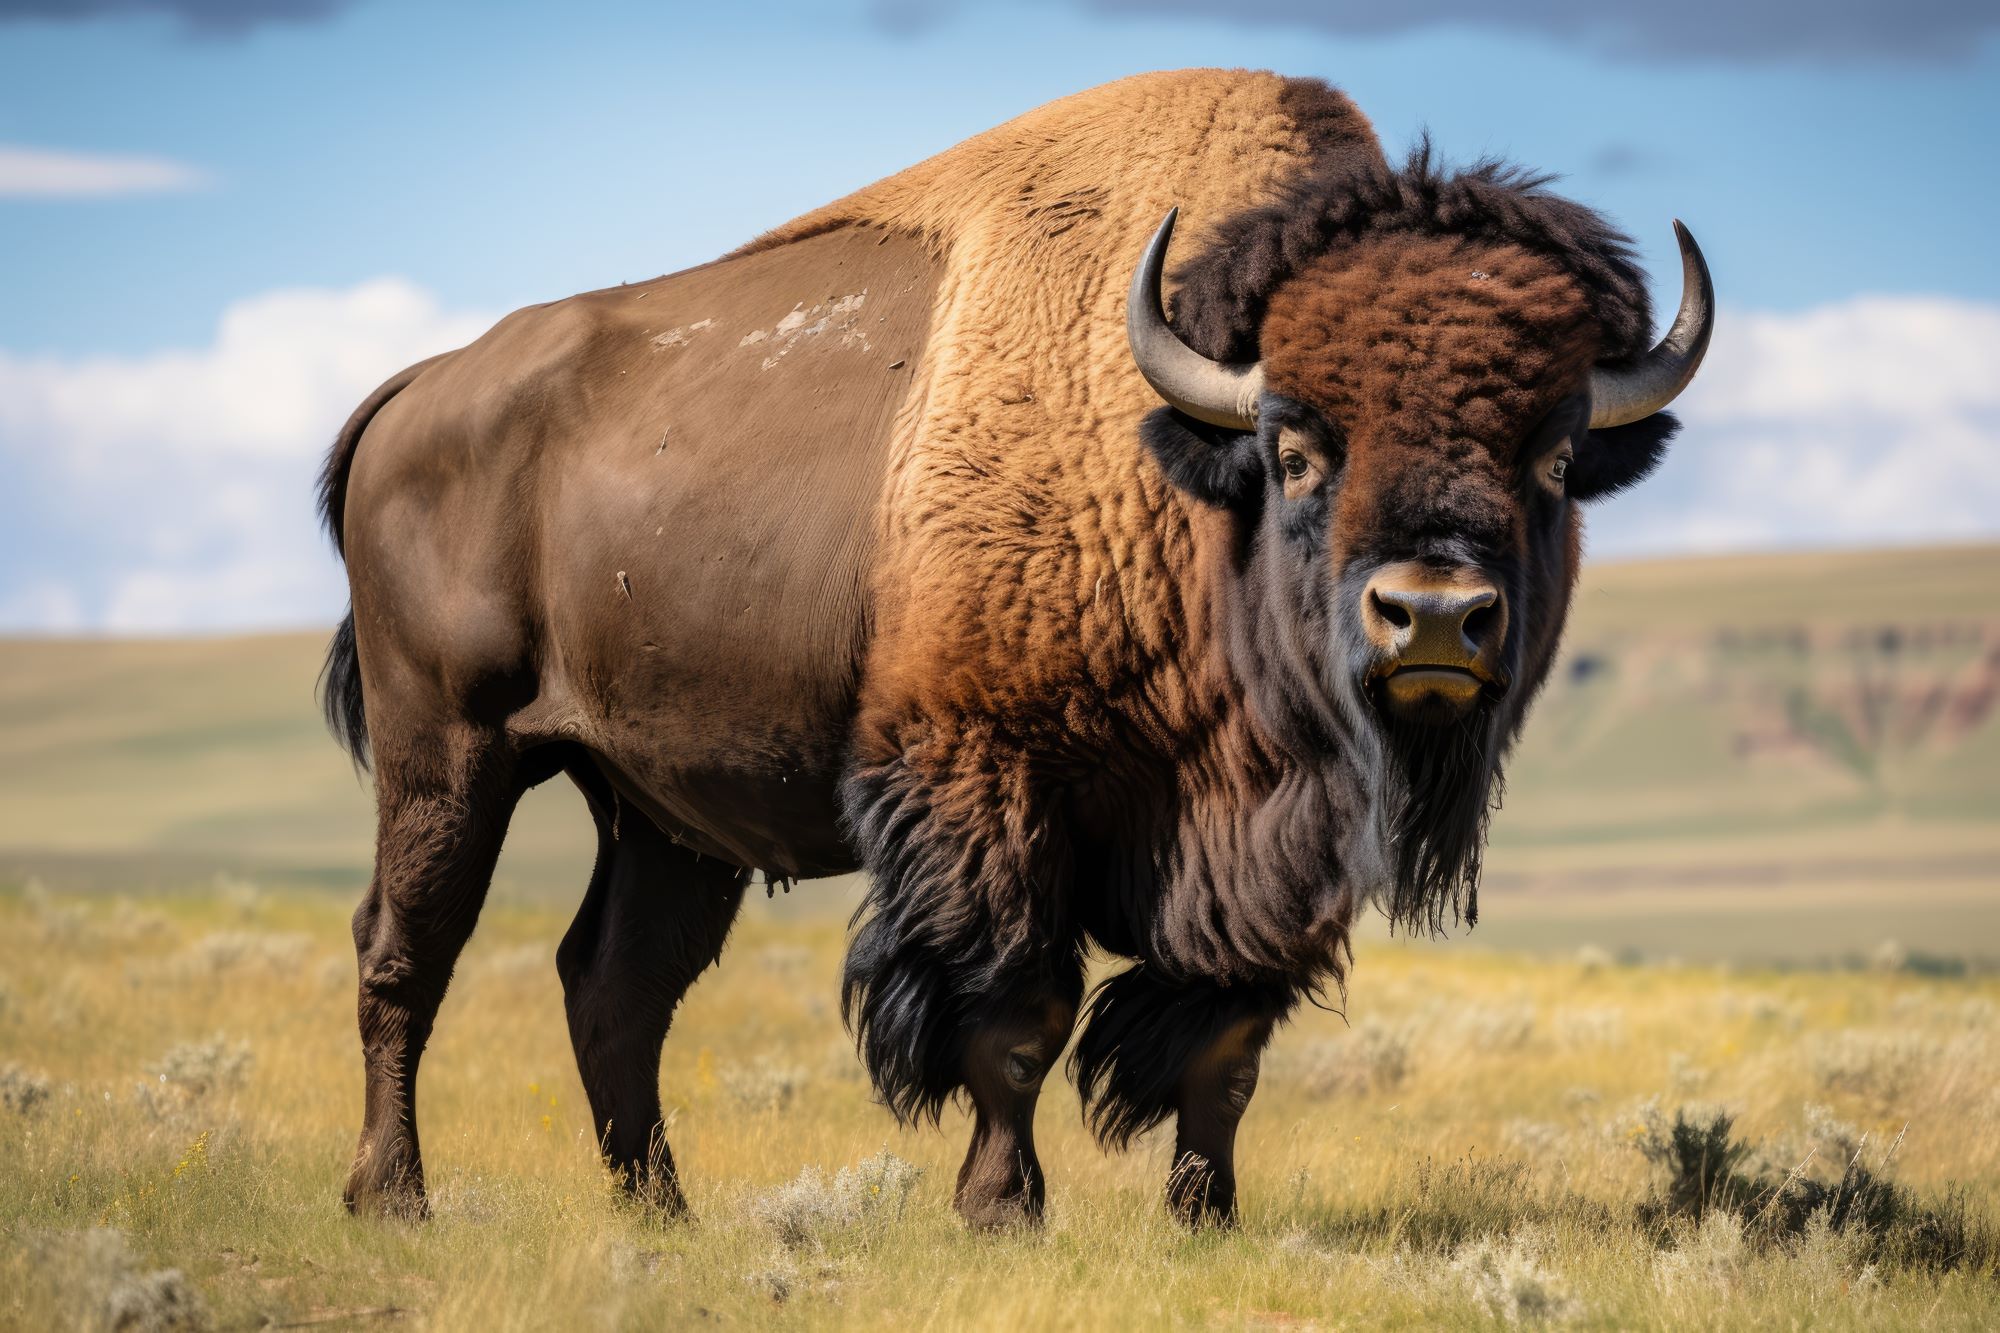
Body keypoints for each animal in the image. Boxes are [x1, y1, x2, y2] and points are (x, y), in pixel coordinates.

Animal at [320, 65, 1712, 1224]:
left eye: (1550, 460)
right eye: (1294, 447)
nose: (1430, 614)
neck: (1177, 465)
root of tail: (422, 388)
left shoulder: (1271, 857)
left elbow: (1222, 1041)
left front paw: (1204, 1218)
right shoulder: (986, 779)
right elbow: (1015, 1016)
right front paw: (1000, 1208)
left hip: (662, 811)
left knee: (614, 985)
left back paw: (660, 1212)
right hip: (451, 749)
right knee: (406, 950)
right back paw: (393, 1197)